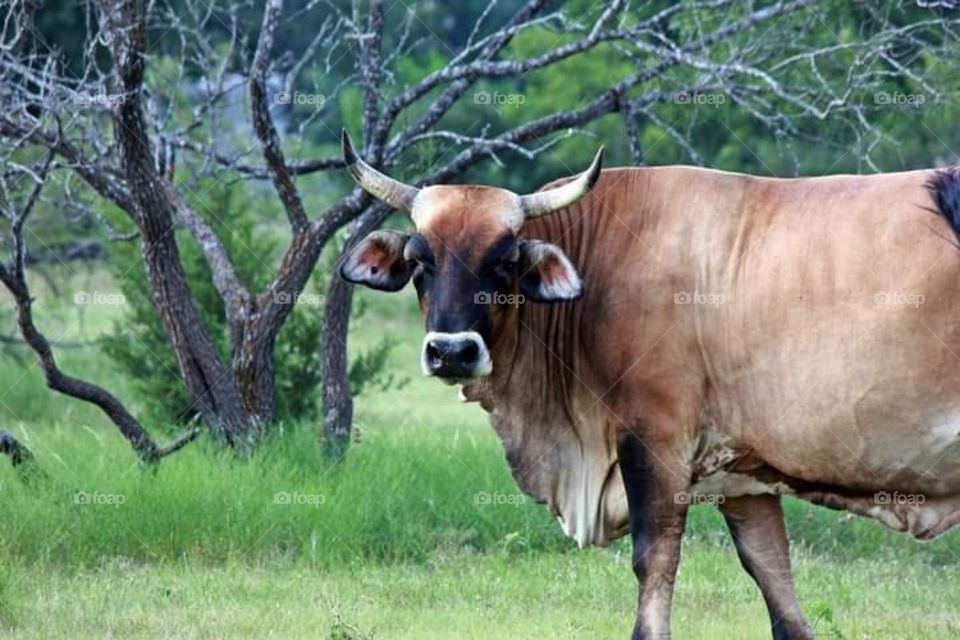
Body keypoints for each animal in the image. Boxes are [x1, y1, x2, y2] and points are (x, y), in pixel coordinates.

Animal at [338, 130, 960, 639]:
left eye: (505, 262)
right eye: (420, 261)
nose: (452, 351)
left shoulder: (654, 444)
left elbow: (652, 563)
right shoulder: (745, 476)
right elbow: (775, 581)